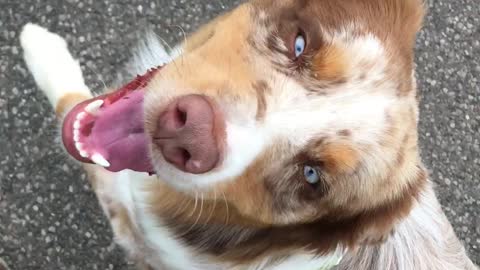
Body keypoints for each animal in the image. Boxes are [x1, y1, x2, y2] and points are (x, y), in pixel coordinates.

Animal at [17, 0, 476, 270]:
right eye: (299, 44)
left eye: (311, 177)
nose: (187, 135)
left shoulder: (141, 236)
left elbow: (86, 143)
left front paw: (41, 50)